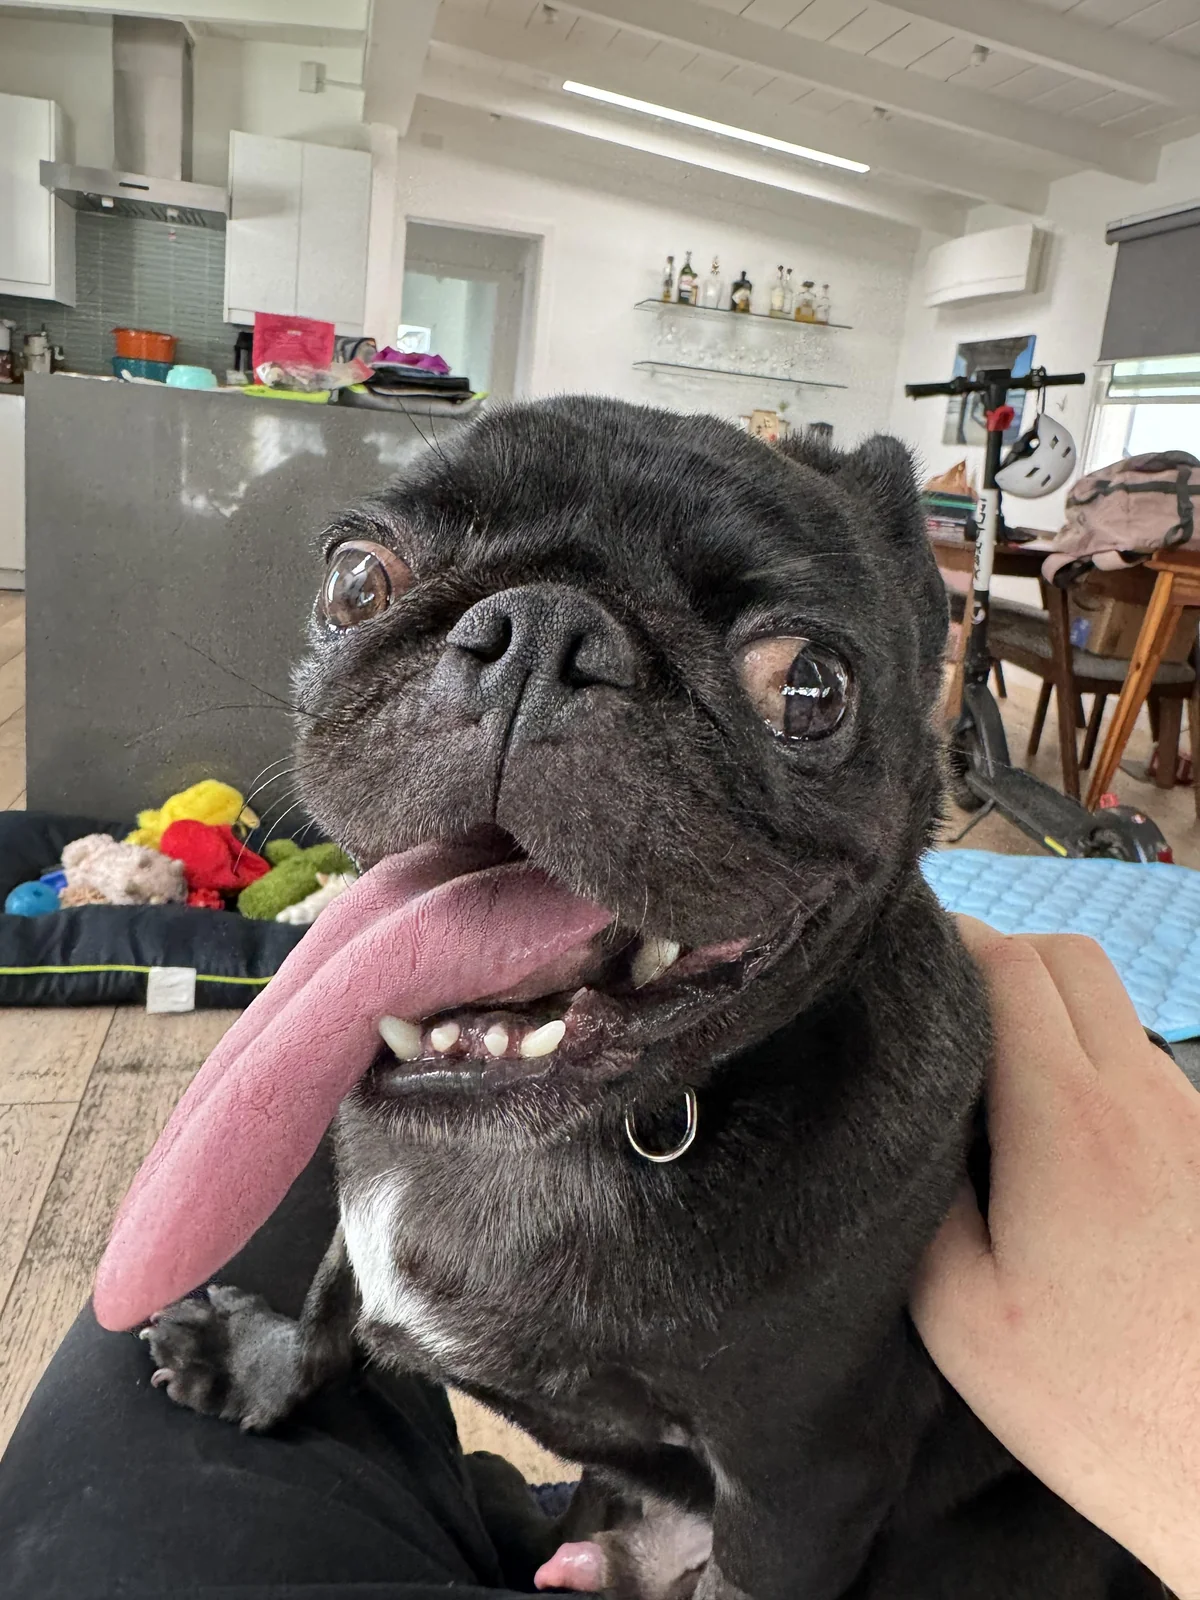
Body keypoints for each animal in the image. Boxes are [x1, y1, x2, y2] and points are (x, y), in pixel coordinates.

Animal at [128, 397, 1156, 1598]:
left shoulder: (801, 1484)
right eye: (355, 581)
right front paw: (256, 1369)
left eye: (810, 689)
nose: (539, 630)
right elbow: (330, 1302)